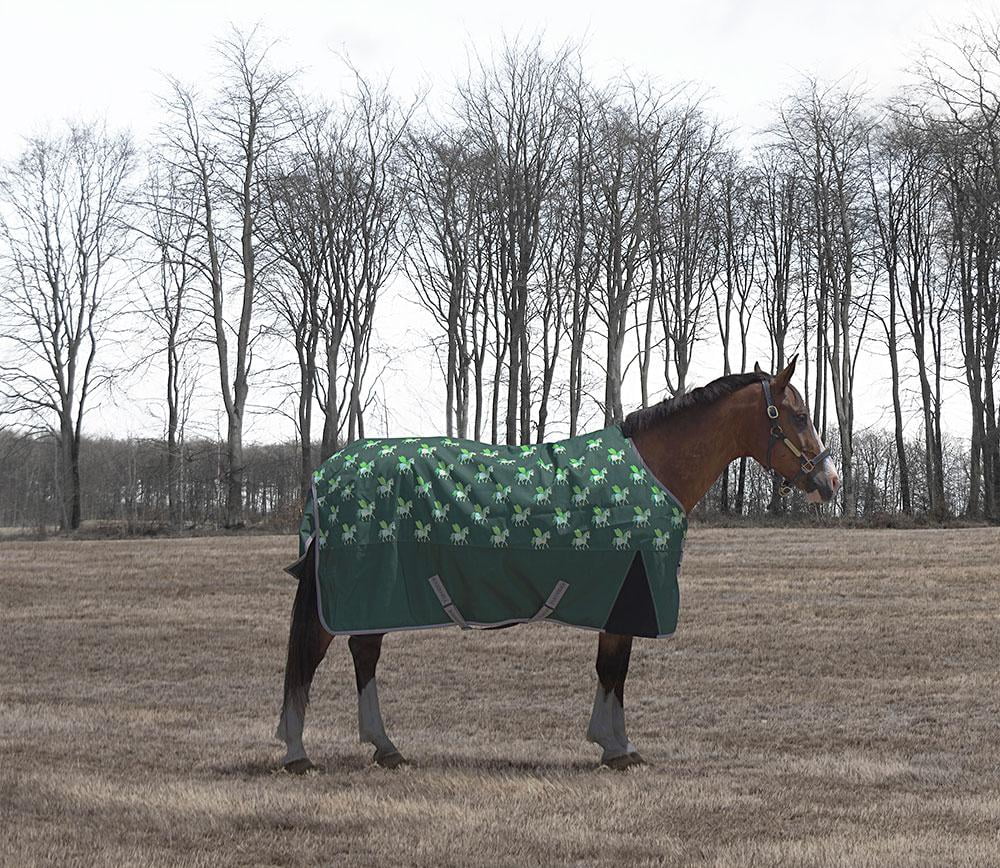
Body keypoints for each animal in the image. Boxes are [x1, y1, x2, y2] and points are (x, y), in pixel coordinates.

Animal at [275, 357, 841, 772]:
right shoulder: (629, 592)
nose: (829, 482)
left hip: (375, 593)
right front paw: (619, 749)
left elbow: (611, 670)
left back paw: (385, 748)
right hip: (360, 586)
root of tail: (332, 472)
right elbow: (614, 669)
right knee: (313, 655)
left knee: (361, 654)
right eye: (799, 416)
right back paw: (299, 754)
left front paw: (610, 744)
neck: (650, 472)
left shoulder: (617, 596)